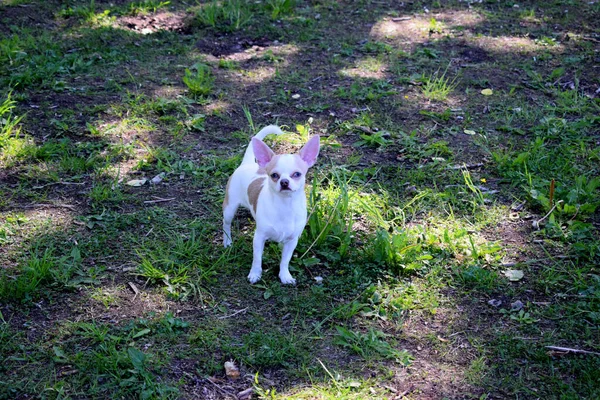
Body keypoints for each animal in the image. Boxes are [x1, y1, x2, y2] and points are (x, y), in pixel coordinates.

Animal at [224, 126, 318, 284]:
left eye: (297, 174)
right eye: (274, 175)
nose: (284, 182)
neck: (285, 205)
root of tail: (247, 163)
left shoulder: (292, 241)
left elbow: (285, 260)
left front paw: (285, 275)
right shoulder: (259, 238)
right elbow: (257, 259)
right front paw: (255, 274)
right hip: (229, 208)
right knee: (226, 225)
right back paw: (227, 242)